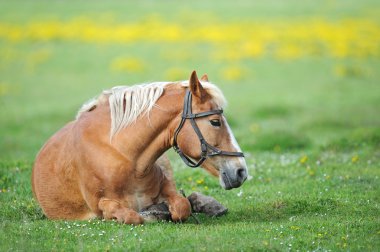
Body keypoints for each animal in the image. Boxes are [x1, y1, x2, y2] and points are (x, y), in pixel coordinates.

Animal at [31, 70, 248, 223]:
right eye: (215, 122)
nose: (241, 171)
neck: (126, 158)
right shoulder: (99, 206)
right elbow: (132, 216)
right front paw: (154, 213)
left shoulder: (168, 189)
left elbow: (182, 206)